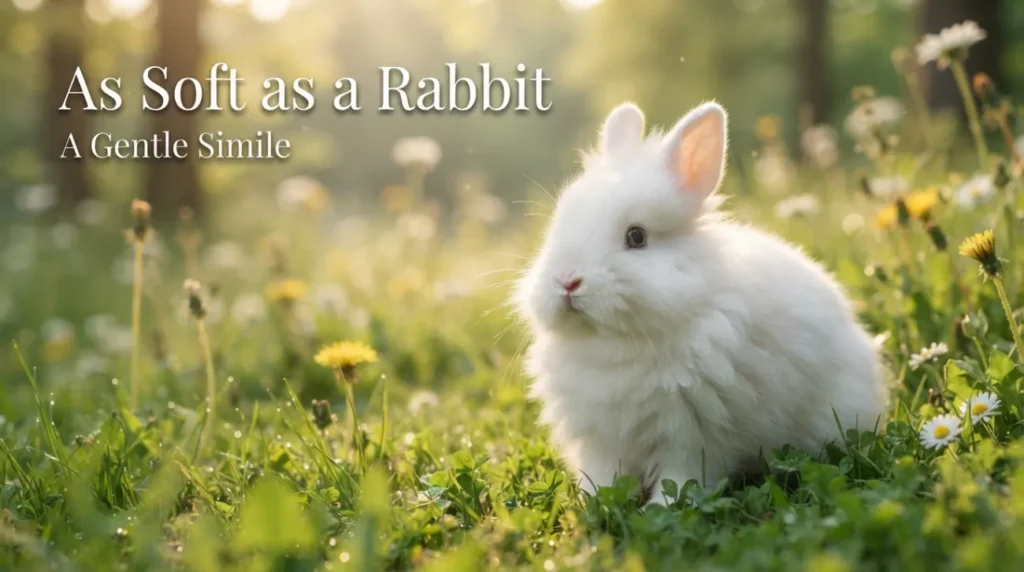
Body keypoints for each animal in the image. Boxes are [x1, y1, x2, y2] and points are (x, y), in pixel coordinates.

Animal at [515, 101, 887, 505]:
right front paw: (596, 502)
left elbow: (682, 478)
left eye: (636, 237)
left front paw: (660, 508)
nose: (567, 281)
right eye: (558, 225)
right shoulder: (601, 440)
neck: (616, 344)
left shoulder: (693, 435)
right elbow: (603, 476)